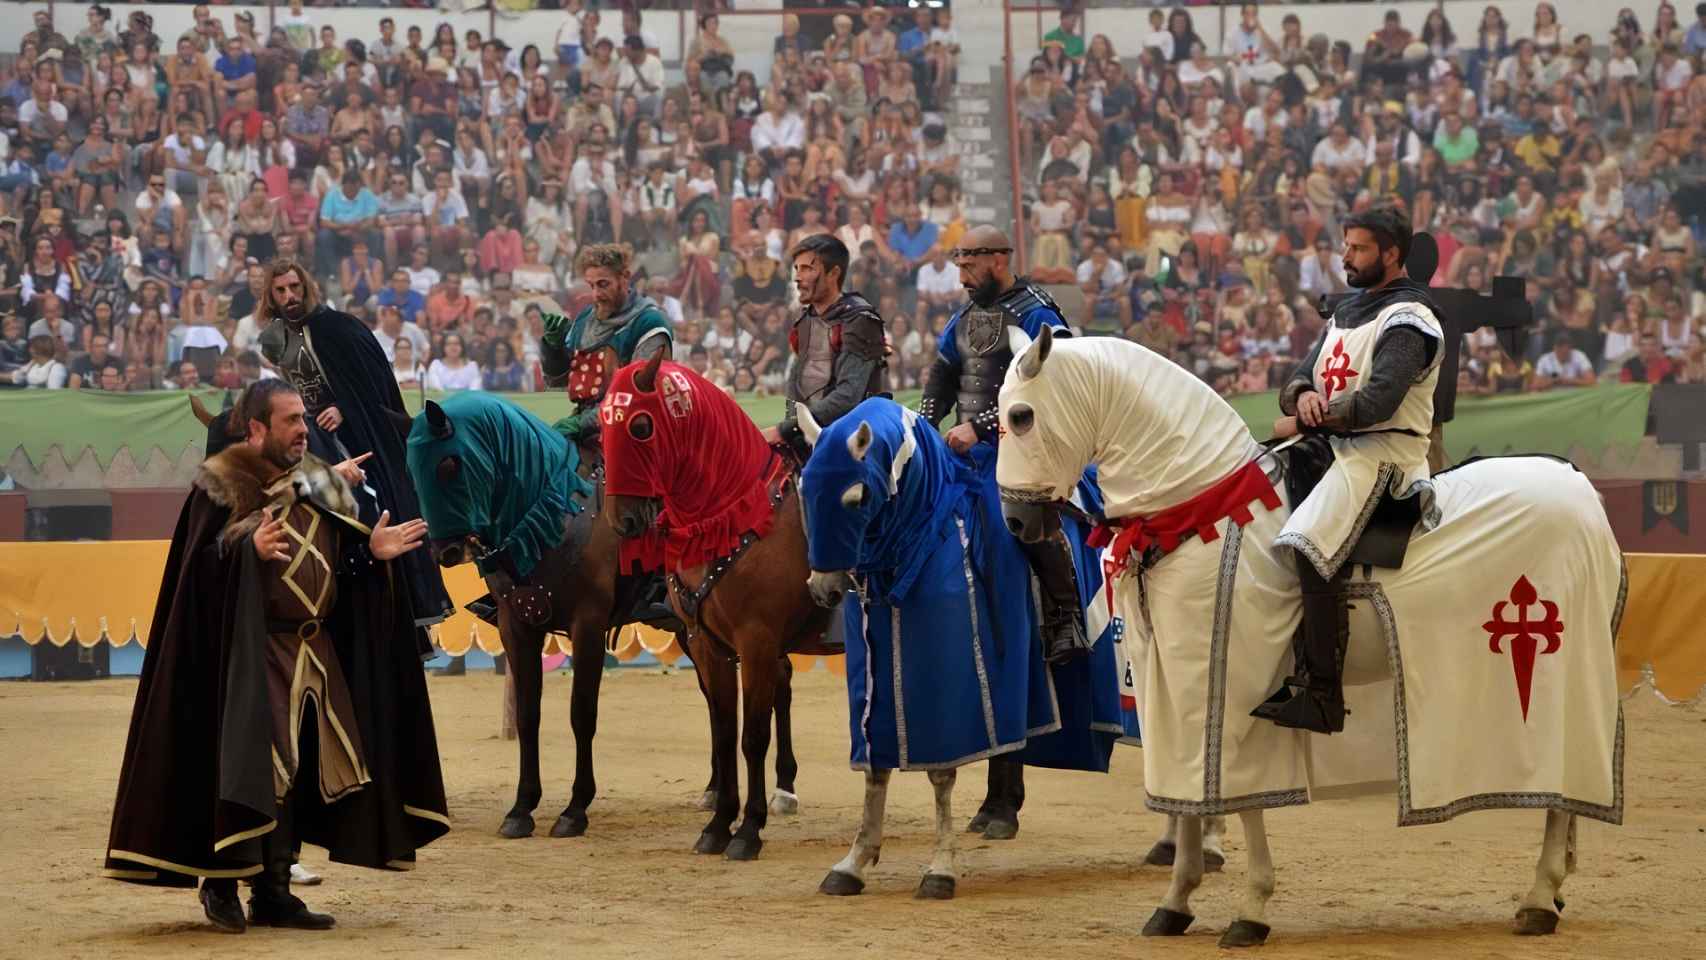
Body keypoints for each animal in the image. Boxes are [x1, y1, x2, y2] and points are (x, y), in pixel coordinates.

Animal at [392, 393, 805, 845]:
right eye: (410, 467)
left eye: (449, 464)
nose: (446, 552)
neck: (554, 516)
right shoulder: (517, 627)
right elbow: (527, 715)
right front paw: (522, 808)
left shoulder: (586, 625)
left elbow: (581, 713)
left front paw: (575, 809)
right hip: (693, 632)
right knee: (717, 701)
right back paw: (715, 791)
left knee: (779, 682)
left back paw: (784, 788)